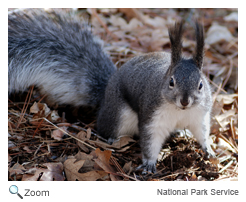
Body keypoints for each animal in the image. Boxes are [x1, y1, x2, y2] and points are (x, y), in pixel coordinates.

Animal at [7, 9, 215, 174]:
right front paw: (149, 163)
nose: (185, 100)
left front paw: (209, 149)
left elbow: (202, 132)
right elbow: (150, 141)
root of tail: (106, 92)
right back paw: (110, 139)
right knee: (107, 127)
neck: (180, 111)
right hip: (119, 115)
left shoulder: (200, 116)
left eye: (201, 84)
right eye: (171, 82)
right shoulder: (152, 117)